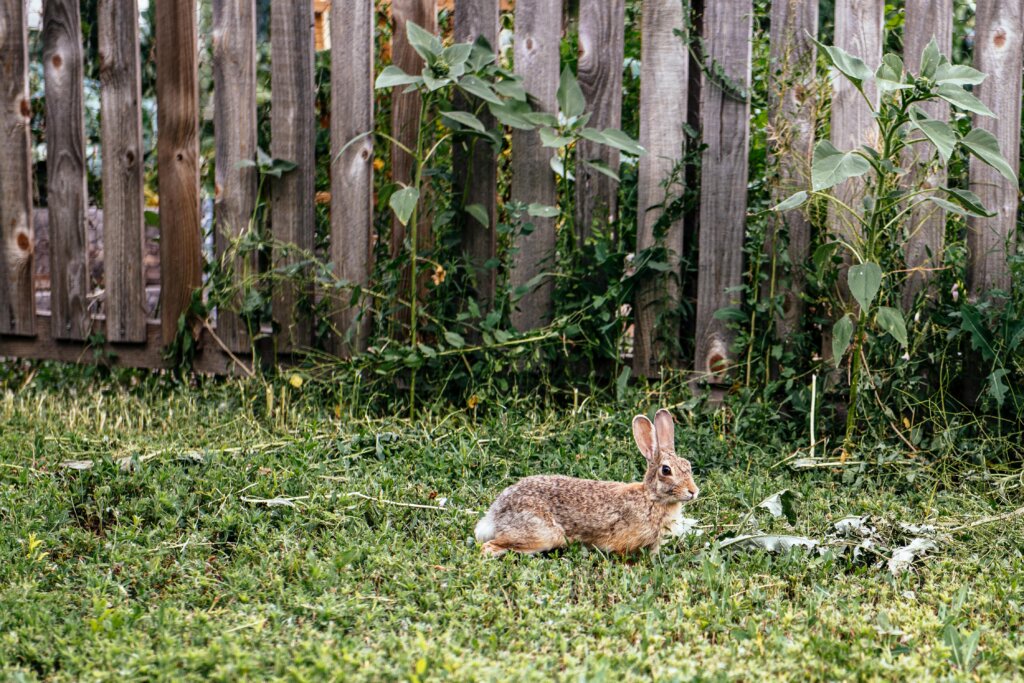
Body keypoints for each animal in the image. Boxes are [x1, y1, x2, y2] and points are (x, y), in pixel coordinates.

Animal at [475, 409, 700, 557]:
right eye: (666, 470)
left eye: (688, 465)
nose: (693, 491)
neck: (652, 498)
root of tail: (495, 514)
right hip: (540, 534)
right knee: (489, 547)